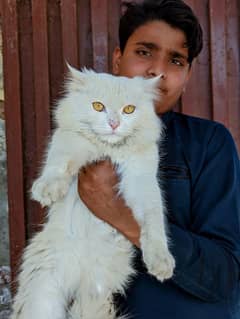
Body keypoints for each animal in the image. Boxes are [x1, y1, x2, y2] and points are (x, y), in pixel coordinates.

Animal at [11, 67, 175, 319]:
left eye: (129, 110)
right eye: (98, 106)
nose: (114, 123)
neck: (108, 150)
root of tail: (83, 276)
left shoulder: (142, 180)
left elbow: (154, 222)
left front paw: (160, 262)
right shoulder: (69, 142)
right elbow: (58, 164)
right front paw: (47, 190)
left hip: (95, 293)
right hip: (44, 293)